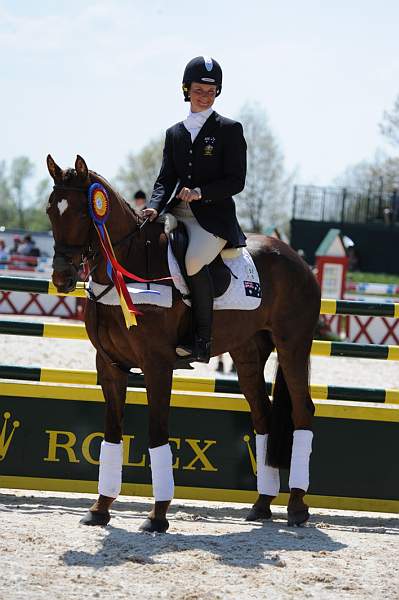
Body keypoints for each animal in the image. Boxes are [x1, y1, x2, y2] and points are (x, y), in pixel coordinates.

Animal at [46, 155, 322, 536]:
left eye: (81, 213)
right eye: (50, 211)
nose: (62, 277)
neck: (129, 265)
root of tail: (297, 259)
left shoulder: (156, 365)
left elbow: (157, 433)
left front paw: (157, 516)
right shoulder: (110, 366)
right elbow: (112, 435)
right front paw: (100, 509)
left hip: (293, 344)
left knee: (302, 412)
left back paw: (296, 506)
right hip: (247, 352)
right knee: (262, 415)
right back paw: (261, 505)